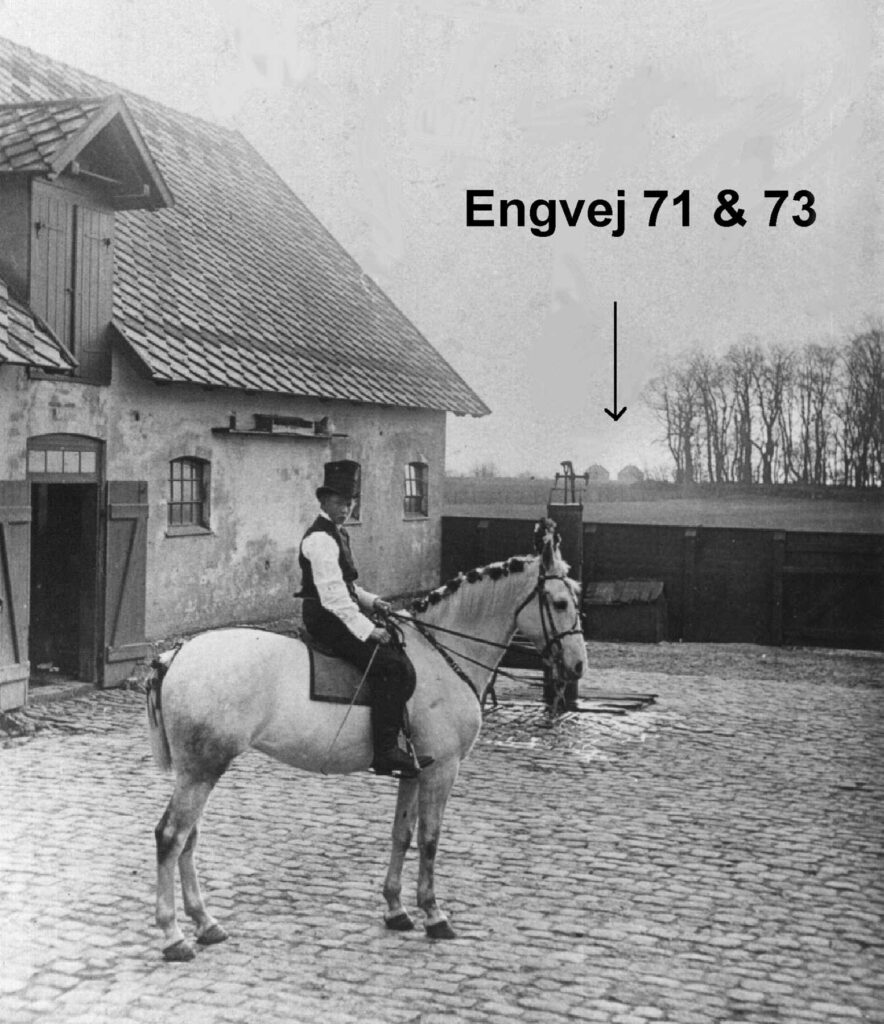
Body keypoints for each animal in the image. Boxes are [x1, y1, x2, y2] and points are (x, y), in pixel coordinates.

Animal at [146, 524, 585, 962]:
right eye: (560, 602)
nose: (578, 666)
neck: (440, 658)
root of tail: (178, 654)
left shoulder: (415, 770)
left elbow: (402, 835)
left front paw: (396, 908)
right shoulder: (443, 769)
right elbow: (429, 839)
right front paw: (434, 914)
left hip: (199, 770)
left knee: (188, 839)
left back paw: (205, 922)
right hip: (203, 769)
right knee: (171, 837)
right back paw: (174, 936)